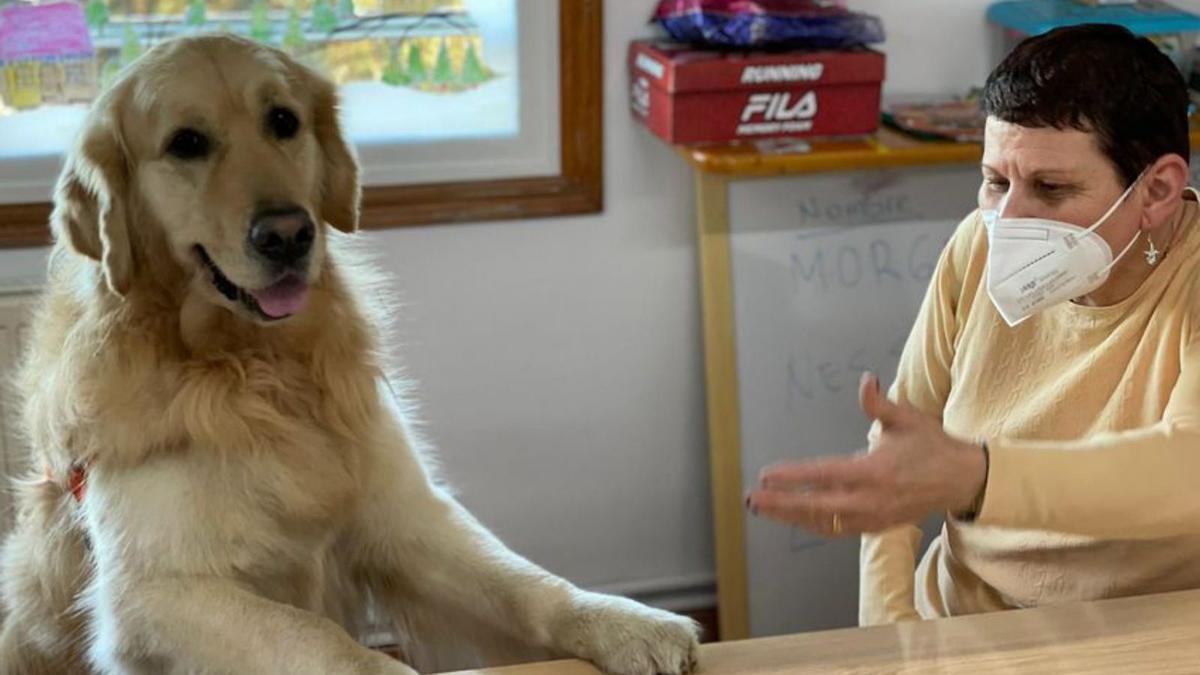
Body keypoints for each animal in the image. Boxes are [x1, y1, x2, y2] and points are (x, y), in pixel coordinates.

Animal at [0, 35, 700, 672]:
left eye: (283, 121)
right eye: (185, 143)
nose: (287, 234)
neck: (254, 367)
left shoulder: (407, 518)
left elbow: (525, 585)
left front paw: (625, 623)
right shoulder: (152, 593)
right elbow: (324, 641)